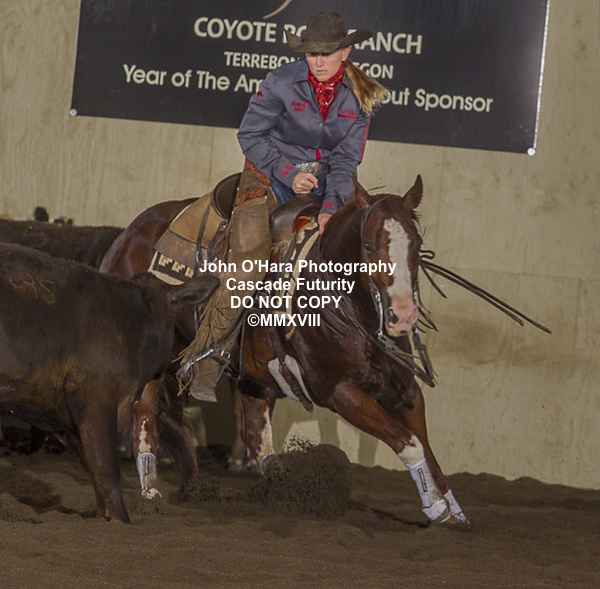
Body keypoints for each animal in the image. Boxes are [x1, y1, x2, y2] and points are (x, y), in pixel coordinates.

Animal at [0, 243, 218, 523]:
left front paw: (105, 519)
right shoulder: (97, 399)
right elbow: (108, 474)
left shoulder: (61, 416)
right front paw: (124, 521)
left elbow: (94, 472)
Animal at [100, 175, 469, 524]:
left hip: (252, 376)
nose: (403, 316)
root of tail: (127, 237)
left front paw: (455, 511)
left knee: (255, 433)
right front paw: (436, 508)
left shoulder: (406, 389)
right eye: (368, 244)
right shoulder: (339, 392)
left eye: (417, 245)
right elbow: (408, 442)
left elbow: (427, 447)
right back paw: (150, 492)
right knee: (145, 415)